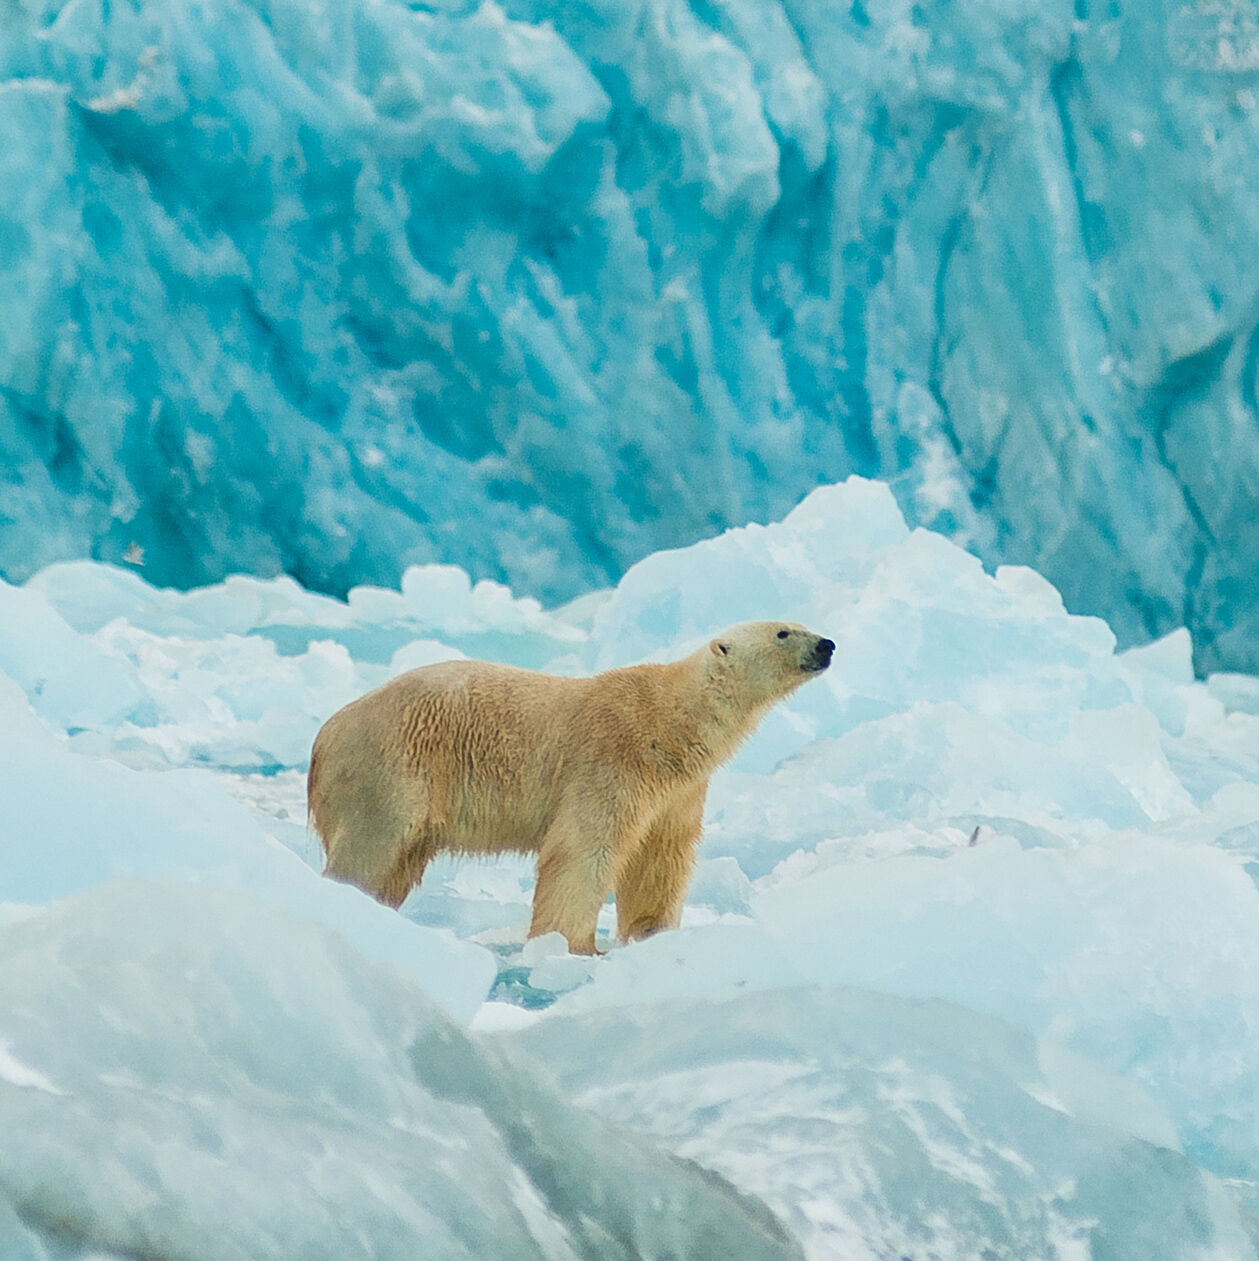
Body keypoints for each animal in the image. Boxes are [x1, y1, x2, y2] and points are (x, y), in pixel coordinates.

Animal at [307, 621, 834, 953]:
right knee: (371, 849)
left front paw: (653, 935)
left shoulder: (678, 790)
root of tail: (325, 737)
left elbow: (660, 857)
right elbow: (584, 851)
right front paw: (572, 947)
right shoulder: (612, 759)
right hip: (393, 770)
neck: (669, 720)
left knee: (399, 864)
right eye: (783, 631)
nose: (827, 644)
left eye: (800, 623)